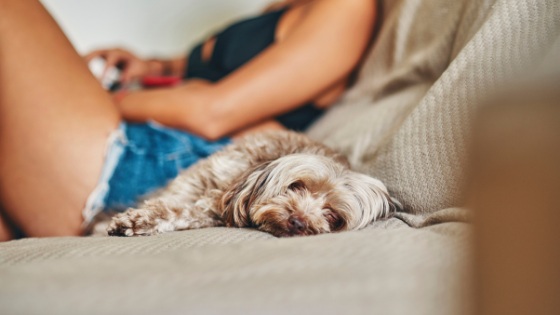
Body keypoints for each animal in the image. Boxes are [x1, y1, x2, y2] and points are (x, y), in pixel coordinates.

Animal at [105, 130, 400, 237]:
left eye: (332, 215)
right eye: (296, 186)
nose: (298, 222)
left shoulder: (210, 210)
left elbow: (179, 212)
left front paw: (140, 222)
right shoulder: (199, 181)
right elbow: (172, 203)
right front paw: (134, 219)